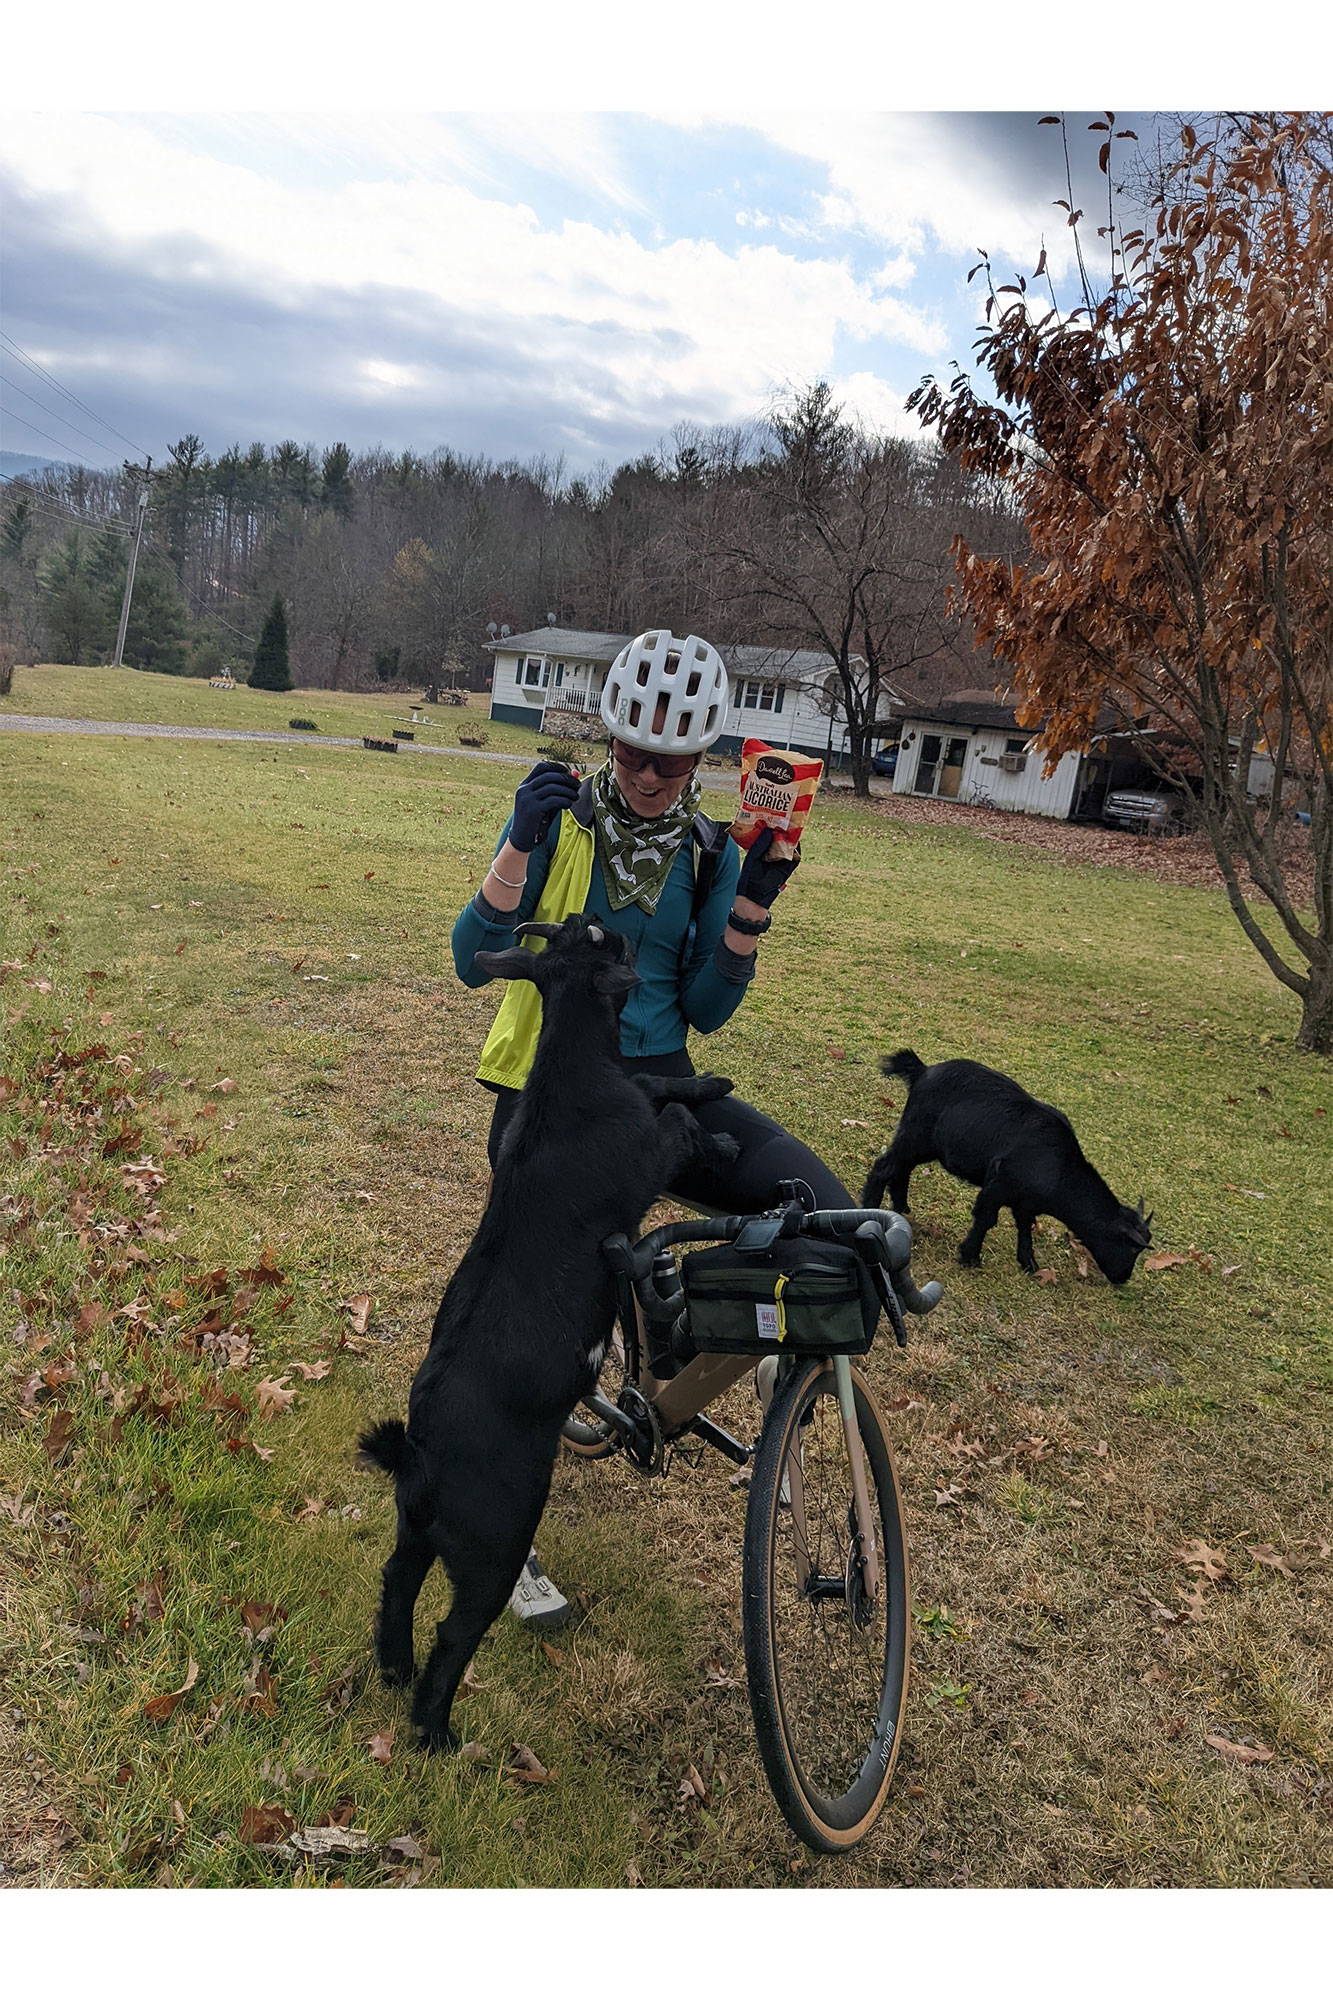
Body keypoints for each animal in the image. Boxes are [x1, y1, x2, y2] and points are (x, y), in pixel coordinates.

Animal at [358, 916, 740, 1760]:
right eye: (601, 938)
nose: (627, 929)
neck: (572, 1066)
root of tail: (419, 1457)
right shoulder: (646, 1153)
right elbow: (672, 1120)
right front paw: (720, 1135)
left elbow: (663, 1086)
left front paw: (709, 1085)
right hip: (494, 1546)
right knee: (454, 1634)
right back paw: (438, 1732)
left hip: (414, 1535)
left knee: (396, 1586)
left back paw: (394, 1673)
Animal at [856, 1048, 1144, 1280]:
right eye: (1132, 1247)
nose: (1123, 1278)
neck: (1060, 1169)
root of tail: (923, 1071)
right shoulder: (998, 1185)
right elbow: (986, 1219)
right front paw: (970, 1256)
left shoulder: (1025, 1202)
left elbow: (1025, 1229)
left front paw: (1029, 1264)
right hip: (915, 1135)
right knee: (884, 1167)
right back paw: (870, 1209)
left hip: (925, 1146)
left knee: (902, 1169)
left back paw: (902, 1209)